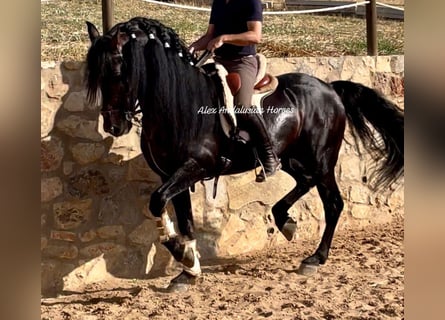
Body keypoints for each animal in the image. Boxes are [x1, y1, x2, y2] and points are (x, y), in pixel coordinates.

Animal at [85, 16, 404, 292]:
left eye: (117, 72)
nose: (113, 125)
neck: (178, 101)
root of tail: (330, 88)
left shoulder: (196, 166)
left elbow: (157, 200)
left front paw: (180, 253)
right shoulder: (173, 175)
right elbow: (180, 216)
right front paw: (189, 270)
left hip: (322, 160)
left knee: (333, 203)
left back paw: (316, 258)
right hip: (291, 158)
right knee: (304, 182)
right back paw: (285, 221)